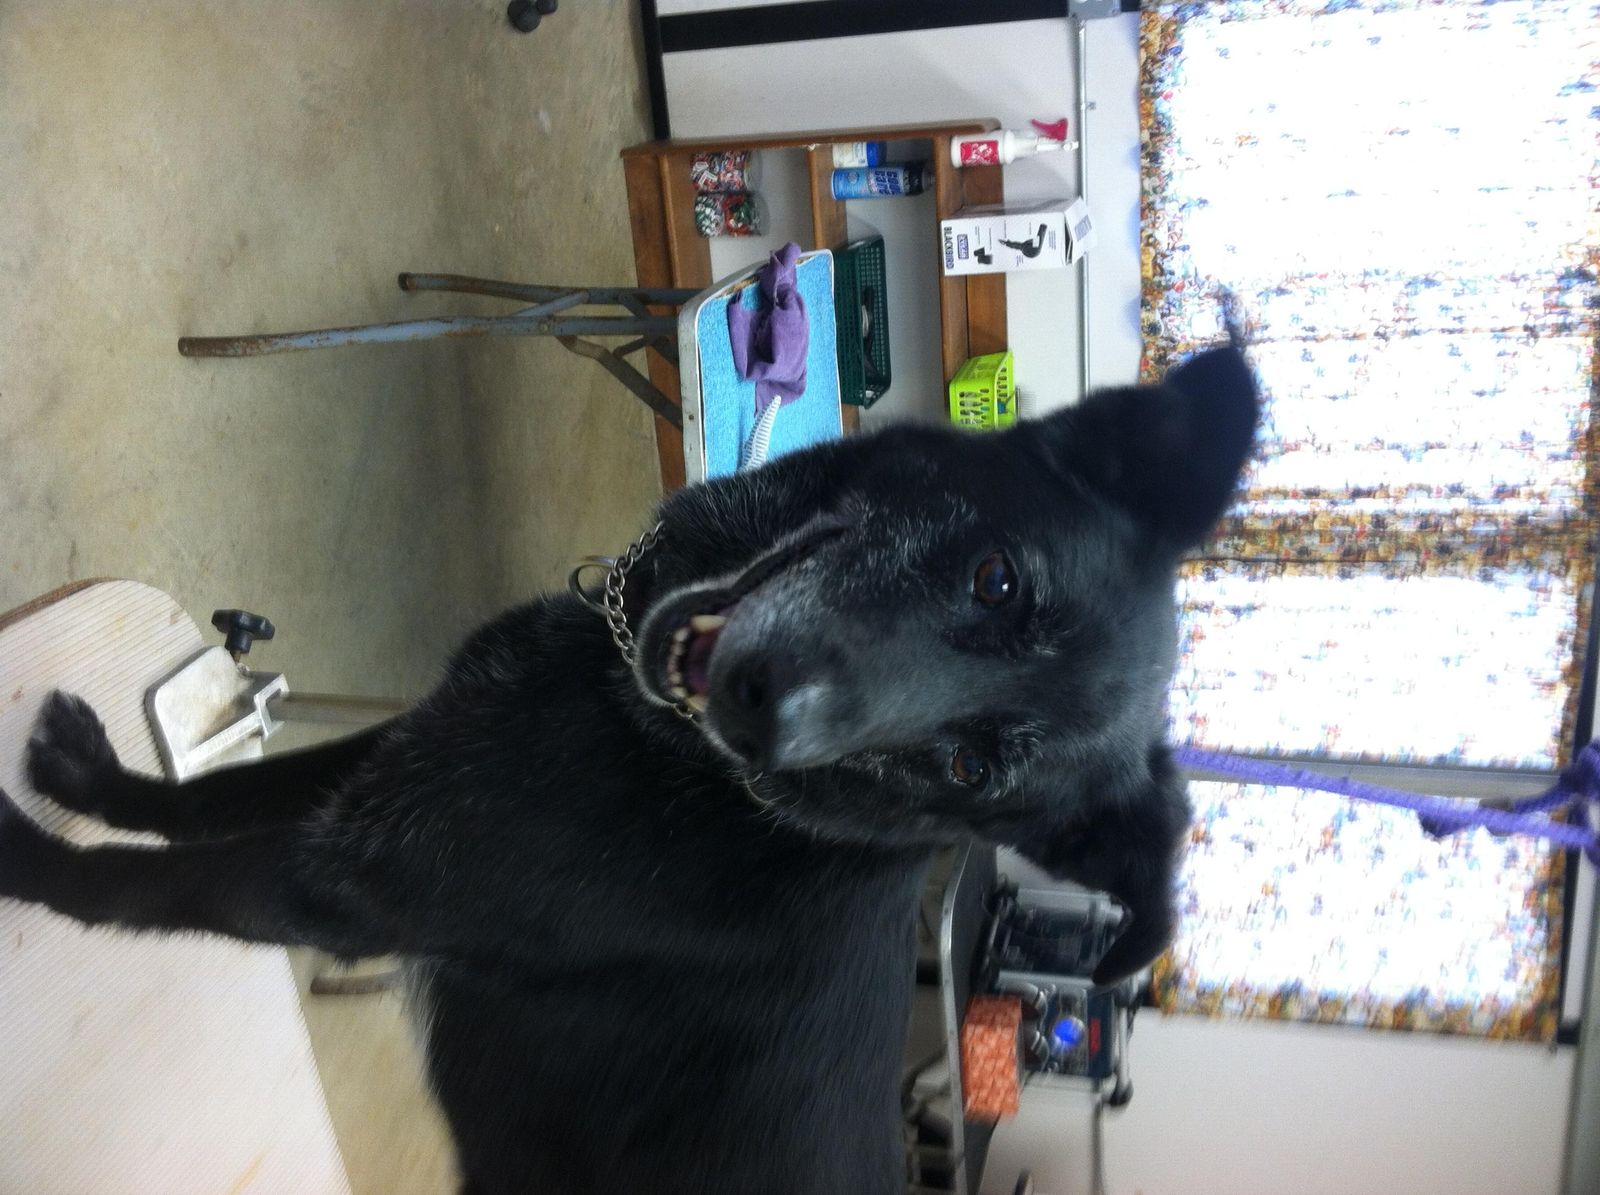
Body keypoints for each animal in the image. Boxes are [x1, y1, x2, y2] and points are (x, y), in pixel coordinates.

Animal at [0, 346, 1256, 1194]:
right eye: (998, 579)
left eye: (969, 766)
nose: (767, 708)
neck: (689, 771)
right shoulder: (414, 746)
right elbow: (211, 796)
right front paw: (93, 782)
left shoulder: (352, 886)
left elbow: (146, 885)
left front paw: (22, 854)